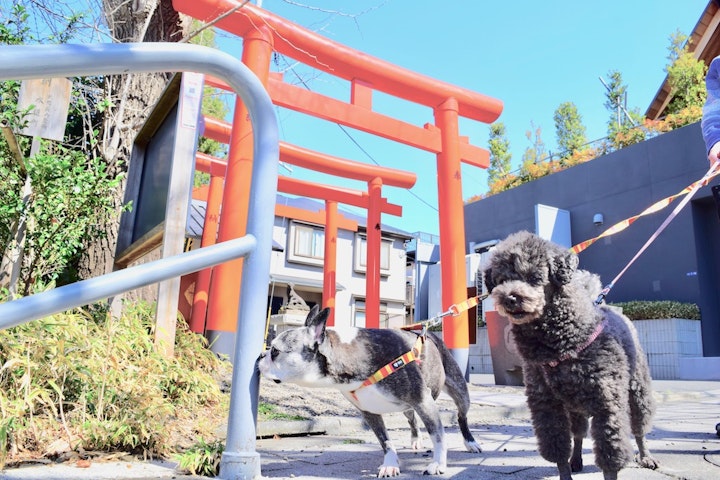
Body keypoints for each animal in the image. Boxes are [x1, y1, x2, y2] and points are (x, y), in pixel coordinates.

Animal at [256, 306, 480, 474]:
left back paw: (470, 442)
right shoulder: (369, 412)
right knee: (412, 419)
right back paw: (416, 440)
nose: (260, 355)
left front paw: (438, 464)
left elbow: (438, 435)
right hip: (408, 406)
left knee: (461, 416)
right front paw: (390, 464)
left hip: (460, 393)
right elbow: (385, 440)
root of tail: (429, 331)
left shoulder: (423, 401)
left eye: (275, 351)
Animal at [484, 231, 660, 478]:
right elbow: (558, 451)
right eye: (500, 281)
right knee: (578, 434)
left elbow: (610, 455)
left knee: (639, 426)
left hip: (637, 389)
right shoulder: (547, 406)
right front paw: (566, 469)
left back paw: (646, 456)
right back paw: (576, 459)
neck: (562, 343)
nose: (509, 298)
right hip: (575, 406)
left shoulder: (607, 404)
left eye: (534, 277)